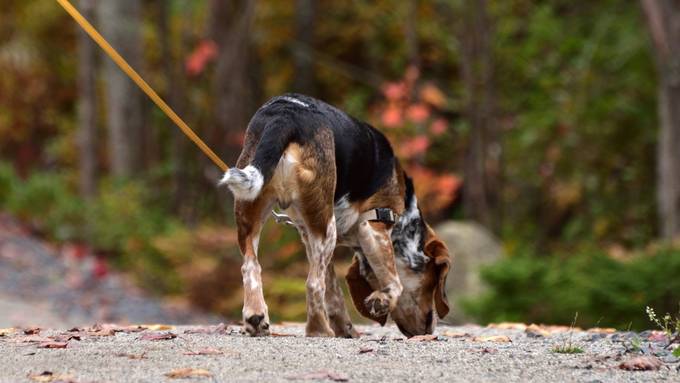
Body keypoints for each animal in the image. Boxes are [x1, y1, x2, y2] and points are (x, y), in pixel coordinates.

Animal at [219, 94, 452, 340]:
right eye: (433, 282)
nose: (429, 331)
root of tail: (285, 115)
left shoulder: (311, 236)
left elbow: (333, 294)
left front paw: (346, 329)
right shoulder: (373, 225)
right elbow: (394, 283)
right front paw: (381, 301)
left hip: (254, 212)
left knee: (251, 267)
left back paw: (256, 318)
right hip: (326, 228)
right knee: (312, 284)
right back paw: (318, 330)